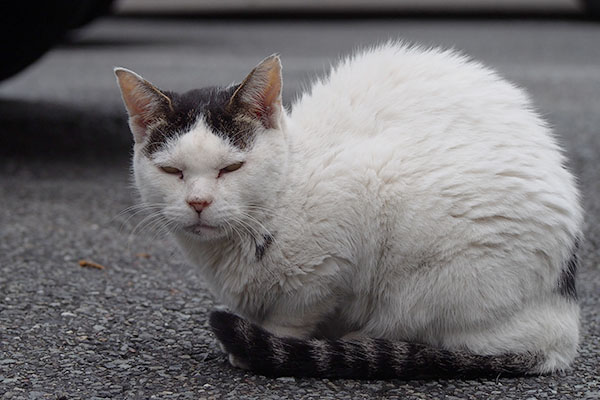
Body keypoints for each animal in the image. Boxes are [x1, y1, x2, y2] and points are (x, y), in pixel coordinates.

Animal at [113, 42, 580, 380]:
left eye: (231, 168)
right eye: (172, 171)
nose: (198, 202)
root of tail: (562, 323)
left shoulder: (344, 231)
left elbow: (297, 309)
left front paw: (268, 342)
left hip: (433, 273)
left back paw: (359, 341)